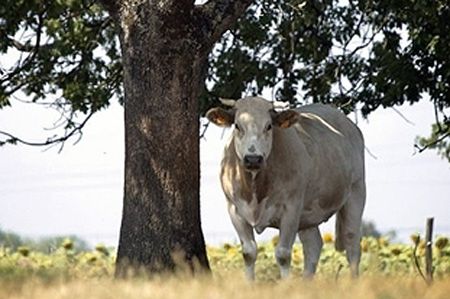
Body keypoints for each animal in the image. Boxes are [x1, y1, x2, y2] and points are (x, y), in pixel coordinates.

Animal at [207, 96, 366, 282]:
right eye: (237, 126)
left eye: (269, 126)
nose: (253, 159)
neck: (256, 188)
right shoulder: (234, 209)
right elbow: (249, 252)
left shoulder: (291, 208)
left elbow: (283, 254)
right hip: (308, 213)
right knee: (313, 246)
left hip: (356, 191)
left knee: (352, 241)